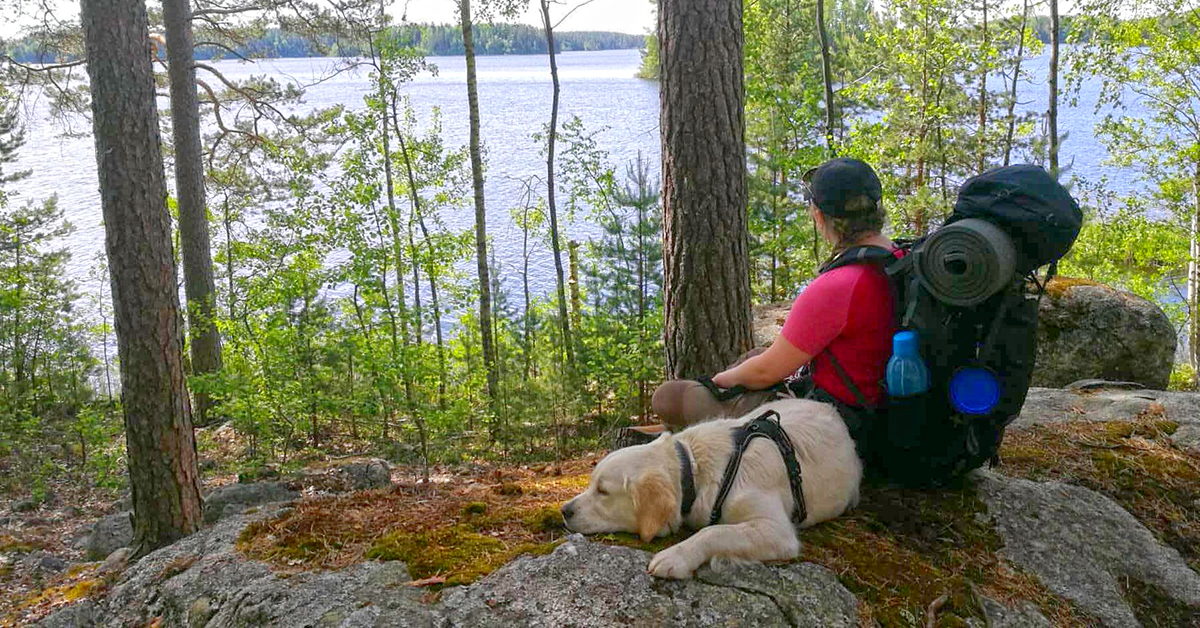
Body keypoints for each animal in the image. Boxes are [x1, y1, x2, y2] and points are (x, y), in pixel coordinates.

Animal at [561, 398, 864, 581]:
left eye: (603, 491)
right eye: (592, 484)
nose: (564, 510)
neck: (695, 470)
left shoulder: (777, 531)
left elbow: (713, 531)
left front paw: (676, 556)